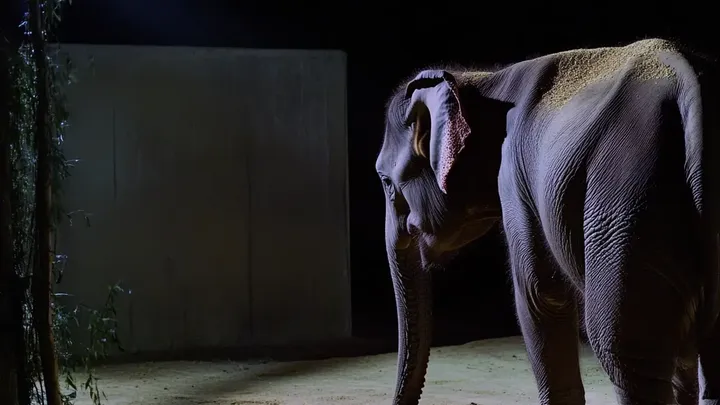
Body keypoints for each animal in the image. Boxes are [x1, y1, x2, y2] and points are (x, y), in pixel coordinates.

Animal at [375, 38, 720, 405]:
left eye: (385, 181)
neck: (483, 81)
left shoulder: (515, 179)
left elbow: (539, 296)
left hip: (630, 203)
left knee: (623, 352)